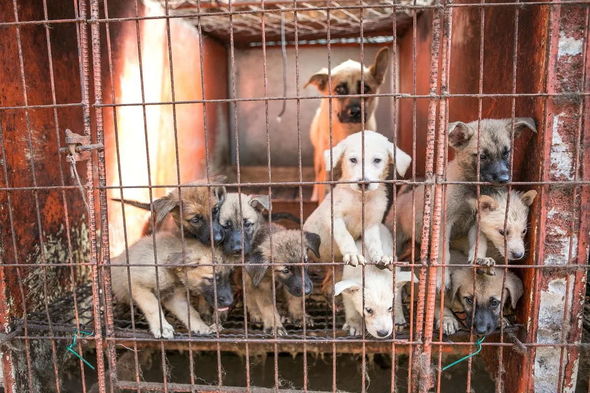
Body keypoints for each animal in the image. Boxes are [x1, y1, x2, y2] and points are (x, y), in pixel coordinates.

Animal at [306, 130, 412, 272]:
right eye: (353, 160)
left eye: (377, 160)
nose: (363, 182)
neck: (361, 198)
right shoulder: (333, 216)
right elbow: (345, 236)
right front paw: (353, 254)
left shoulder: (371, 224)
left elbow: (375, 242)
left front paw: (380, 256)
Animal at [390, 118, 540, 284]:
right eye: (482, 156)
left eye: (506, 153)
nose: (504, 179)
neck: (473, 188)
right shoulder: (444, 222)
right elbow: (443, 254)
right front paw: (441, 278)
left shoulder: (477, 222)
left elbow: (479, 244)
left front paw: (480, 260)